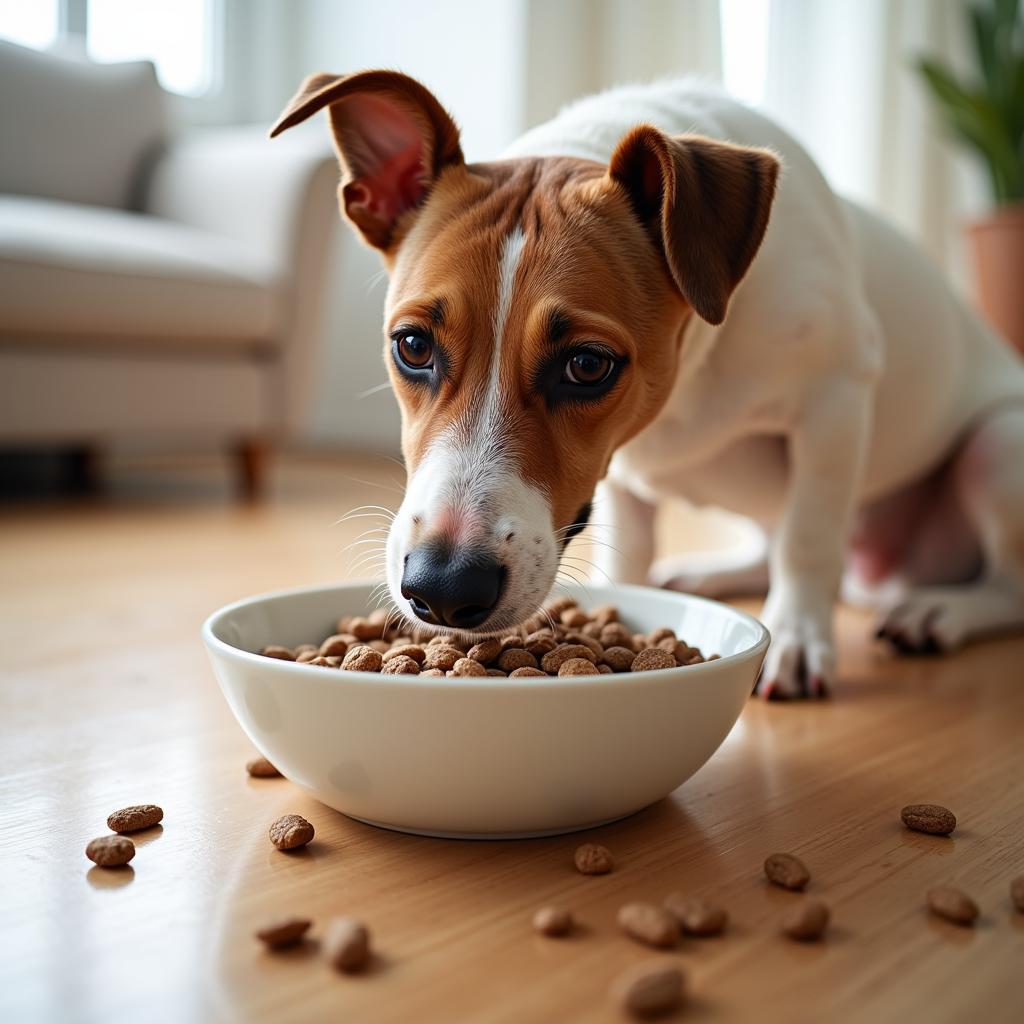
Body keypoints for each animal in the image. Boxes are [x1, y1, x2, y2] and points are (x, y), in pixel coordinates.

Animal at [272, 70, 1024, 696]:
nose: (445, 588)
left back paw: (939, 609)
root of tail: (887, 575)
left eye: (586, 364)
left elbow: (808, 538)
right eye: (413, 346)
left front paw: (798, 641)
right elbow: (636, 547)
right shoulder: (621, 474)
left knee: (1001, 581)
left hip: (998, 448)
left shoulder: (835, 398)